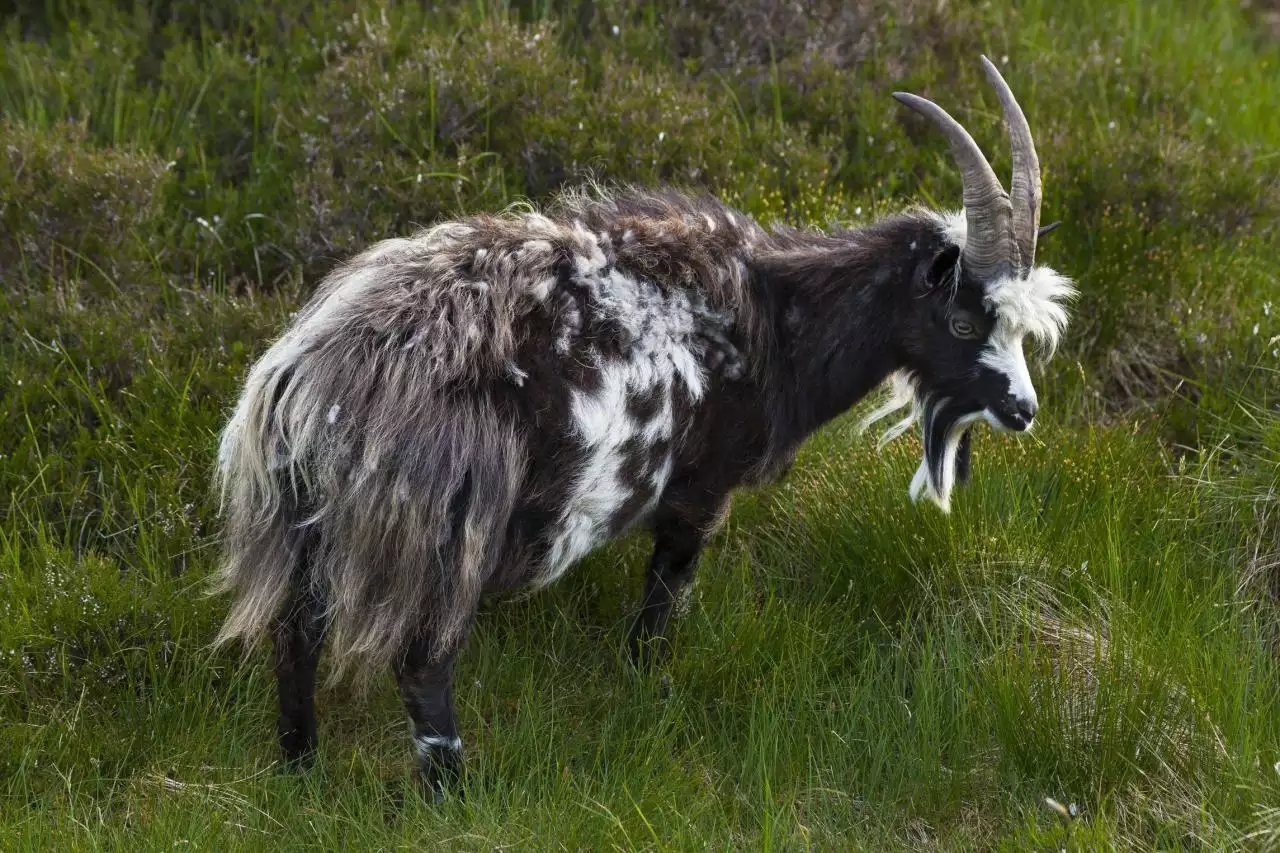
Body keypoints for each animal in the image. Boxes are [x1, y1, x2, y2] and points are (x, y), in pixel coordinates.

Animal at [217, 58, 1070, 799]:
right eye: (962, 320)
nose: (1023, 411)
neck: (774, 318)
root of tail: (315, 380)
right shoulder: (701, 487)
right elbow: (663, 598)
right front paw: (644, 691)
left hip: (308, 523)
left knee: (295, 634)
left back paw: (300, 771)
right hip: (444, 527)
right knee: (422, 659)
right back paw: (450, 793)